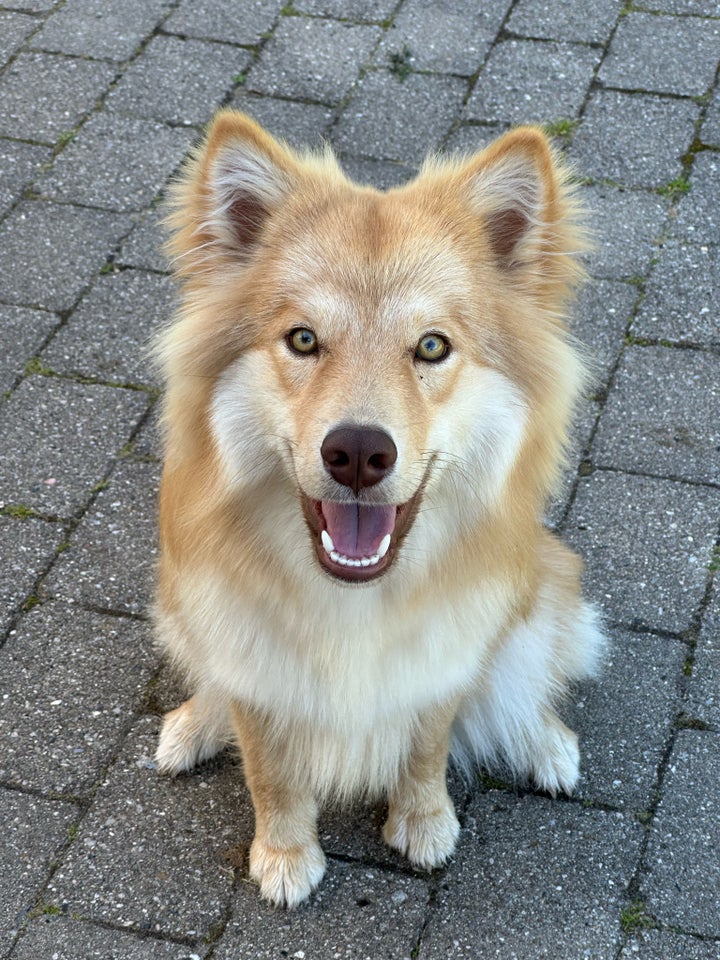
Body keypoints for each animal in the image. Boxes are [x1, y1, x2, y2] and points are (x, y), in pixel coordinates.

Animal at [155, 112, 604, 908]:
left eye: (431, 346)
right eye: (303, 339)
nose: (359, 452)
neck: (352, 601)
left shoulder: (442, 656)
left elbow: (427, 745)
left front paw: (424, 823)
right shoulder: (246, 651)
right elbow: (268, 766)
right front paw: (285, 852)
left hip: (544, 583)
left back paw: (545, 743)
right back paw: (192, 726)